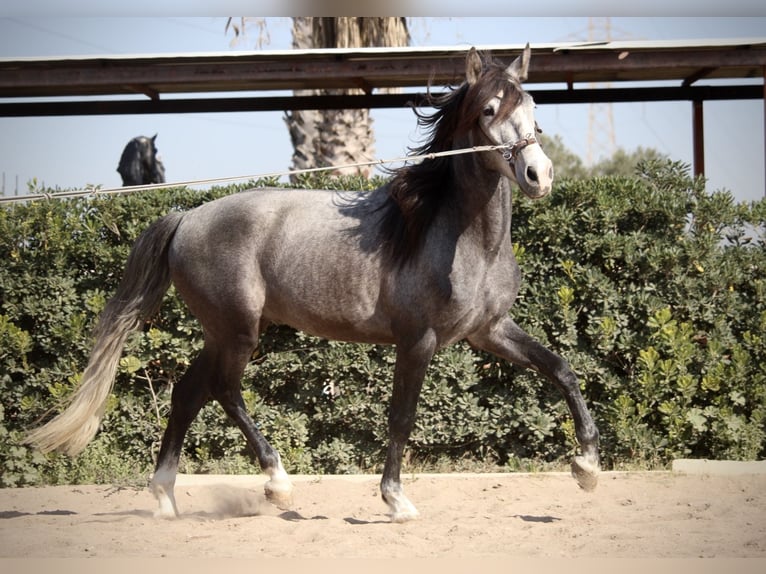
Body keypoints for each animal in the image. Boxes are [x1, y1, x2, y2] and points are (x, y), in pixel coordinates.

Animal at [25, 47, 600, 524]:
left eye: (533, 107)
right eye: (488, 111)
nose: (539, 175)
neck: (452, 234)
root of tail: (187, 217)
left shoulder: (490, 331)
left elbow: (562, 370)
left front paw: (587, 466)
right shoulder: (418, 341)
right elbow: (402, 417)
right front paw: (396, 501)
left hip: (221, 332)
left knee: (188, 392)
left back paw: (166, 499)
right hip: (238, 331)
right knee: (223, 390)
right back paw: (277, 483)